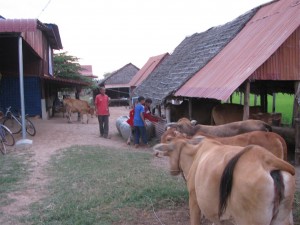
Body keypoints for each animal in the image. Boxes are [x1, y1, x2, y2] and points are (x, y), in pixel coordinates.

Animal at [152, 138, 296, 224]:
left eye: (169, 153)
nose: (171, 170)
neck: (195, 154)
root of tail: (266, 159)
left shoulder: (193, 199)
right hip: (281, 219)